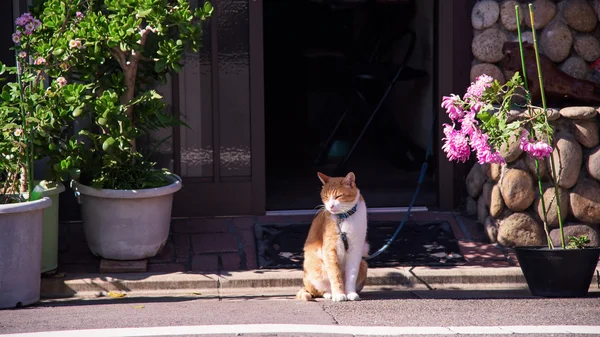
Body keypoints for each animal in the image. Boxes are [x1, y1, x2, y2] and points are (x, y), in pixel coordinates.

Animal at [296, 172, 370, 300]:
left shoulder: (355, 250)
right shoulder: (330, 249)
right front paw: (339, 294)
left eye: (338, 196)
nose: (330, 206)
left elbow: (352, 274)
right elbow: (335, 275)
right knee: (319, 291)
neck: (344, 218)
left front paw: (350, 293)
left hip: (363, 264)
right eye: (325, 196)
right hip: (315, 270)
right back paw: (330, 294)